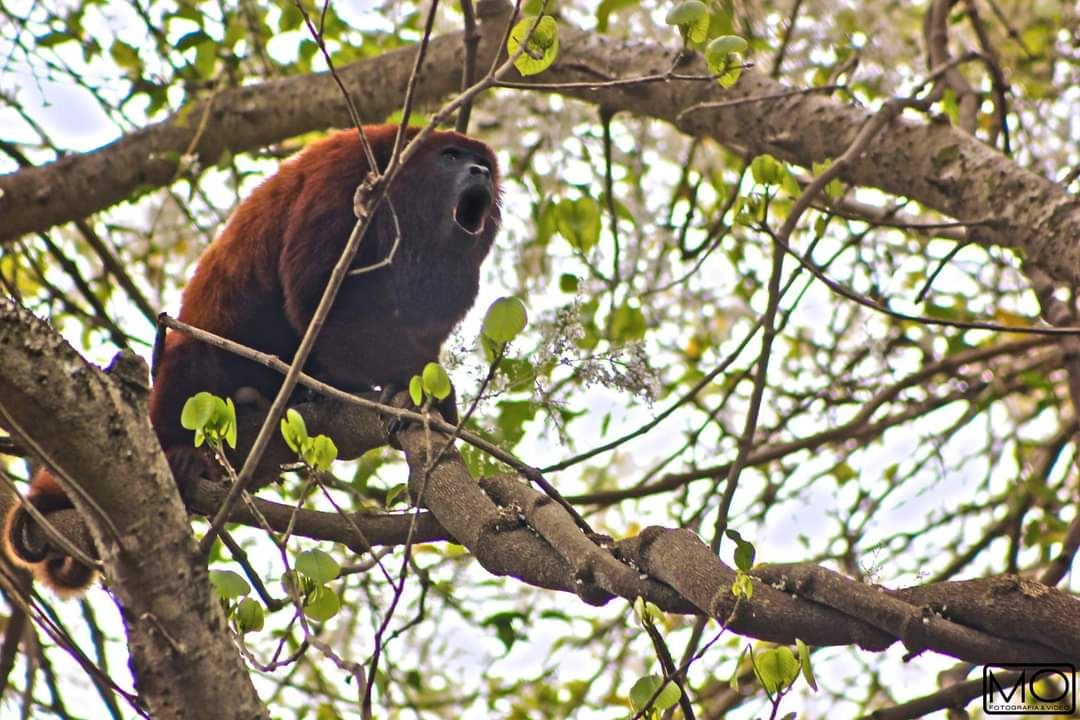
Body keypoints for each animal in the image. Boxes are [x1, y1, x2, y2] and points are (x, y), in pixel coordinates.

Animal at [5, 124, 502, 594]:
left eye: (480, 162)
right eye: (451, 156)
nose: (480, 171)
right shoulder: (345, 179)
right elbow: (316, 297)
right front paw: (408, 384)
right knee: (195, 358)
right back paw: (184, 450)